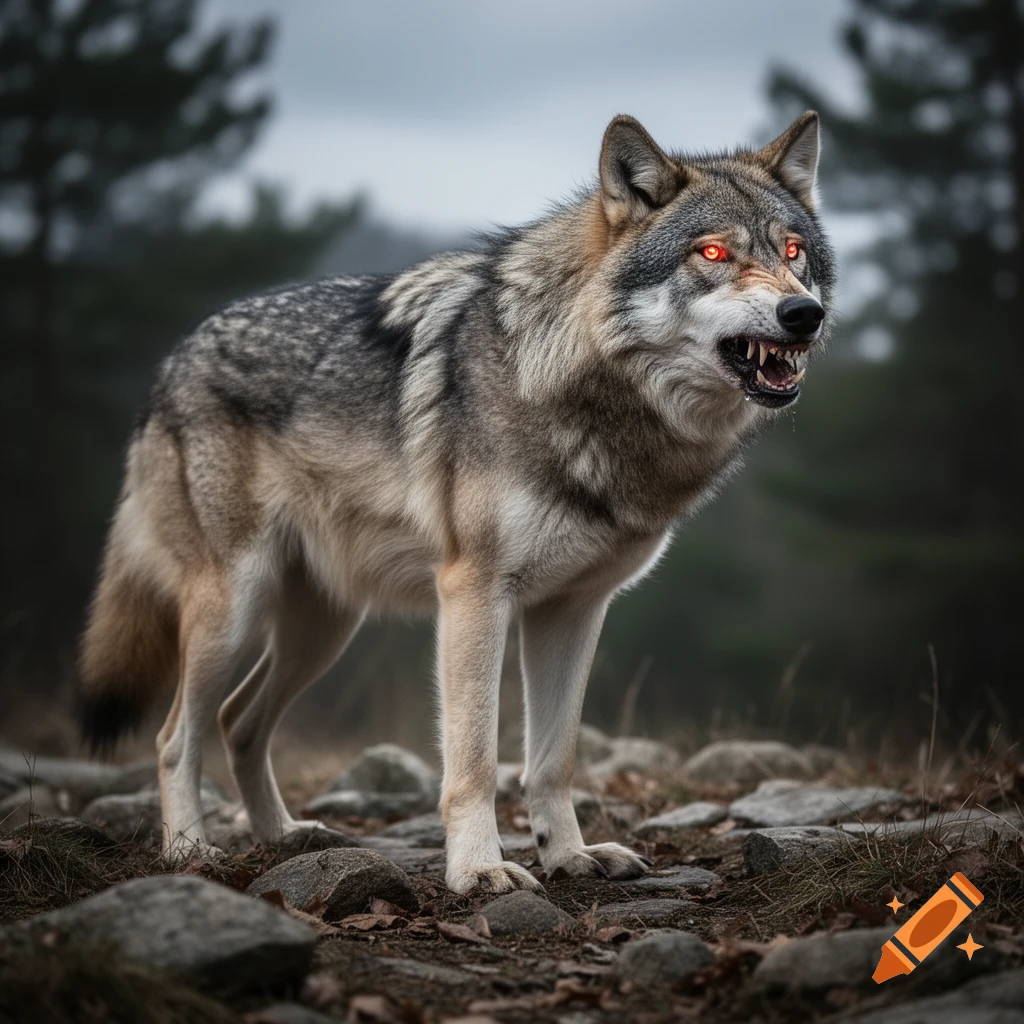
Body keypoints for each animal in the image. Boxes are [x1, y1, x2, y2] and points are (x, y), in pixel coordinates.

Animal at [78, 111, 834, 894]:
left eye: (793, 252)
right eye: (713, 252)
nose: (804, 313)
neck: (575, 383)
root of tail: (172, 361)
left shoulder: (574, 608)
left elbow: (552, 759)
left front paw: (569, 855)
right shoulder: (474, 592)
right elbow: (474, 757)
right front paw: (479, 870)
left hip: (323, 629)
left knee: (239, 722)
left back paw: (284, 837)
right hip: (232, 612)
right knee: (175, 736)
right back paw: (188, 853)